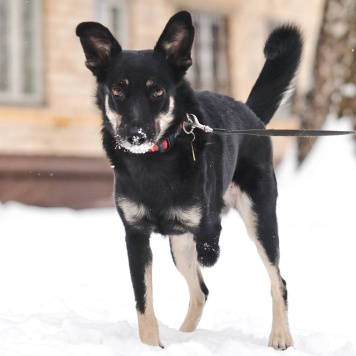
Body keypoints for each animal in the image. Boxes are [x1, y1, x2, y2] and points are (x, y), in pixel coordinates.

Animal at [76, 11, 302, 350]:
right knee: (201, 291)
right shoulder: (136, 235)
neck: (155, 160)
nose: (135, 135)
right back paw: (183, 337)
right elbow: (144, 302)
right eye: (117, 91)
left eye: (157, 91)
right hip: (179, 247)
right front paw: (151, 346)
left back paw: (280, 336)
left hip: (260, 219)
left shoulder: (202, 221)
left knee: (278, 280)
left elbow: (210, 241)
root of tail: (250, 114)